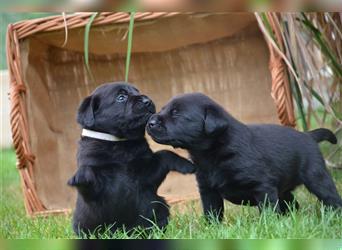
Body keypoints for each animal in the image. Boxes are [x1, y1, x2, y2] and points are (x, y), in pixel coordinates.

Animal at [67, 82, 195, 236]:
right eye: (121, 97)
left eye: (137, 92)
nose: (147, 100)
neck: (120, 144)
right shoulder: (96, 187)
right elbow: (89, 174)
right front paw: (79, 177)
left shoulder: (148, 172)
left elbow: (165, 154)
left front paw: (187, 164)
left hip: (158, 205)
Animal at [148, 92, 342, 221]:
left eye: (176, 113)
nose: (150, 122)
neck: (211, 153)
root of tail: (309, 135)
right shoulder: (208, 190)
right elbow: (212, 212)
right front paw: (212, 228)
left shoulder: (263, 187)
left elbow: (268, 210)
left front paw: (269, 226)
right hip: (285, 189)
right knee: (291, 203)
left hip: (317, 177)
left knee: (330, 196)